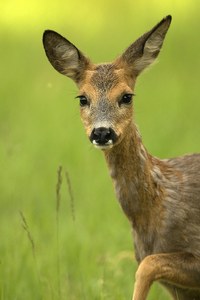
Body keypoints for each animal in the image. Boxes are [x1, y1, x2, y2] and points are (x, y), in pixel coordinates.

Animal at [42, 15, 200, 298]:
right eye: (82, 98)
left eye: (127, 96)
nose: (102, 132)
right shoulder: (180, 286)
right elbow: (149, 264)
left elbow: (147, 266)